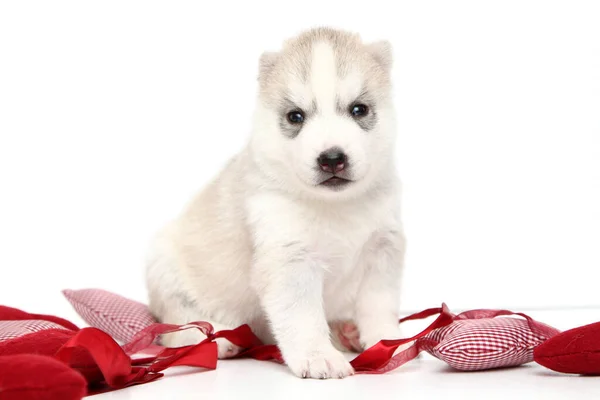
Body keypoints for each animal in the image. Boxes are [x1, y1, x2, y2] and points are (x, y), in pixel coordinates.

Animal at [147, 27, 406, 378]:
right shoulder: (290, 260)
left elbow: (379, 306)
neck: (334, 206)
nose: (332, 159)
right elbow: (303, 317)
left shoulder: (382, 251)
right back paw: (218, 338)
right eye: (295, 116)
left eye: (359, 110)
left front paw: (388, 341)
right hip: (165, 268)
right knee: (177, 324)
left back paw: (346, 331)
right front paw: (317, 356)